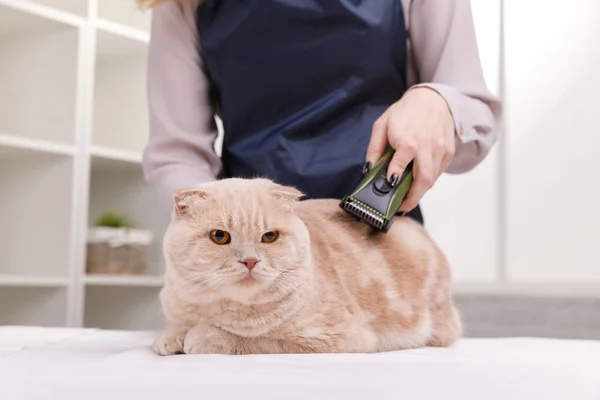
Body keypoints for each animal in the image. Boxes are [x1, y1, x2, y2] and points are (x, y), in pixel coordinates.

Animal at [152, 178, 462, 356]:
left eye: (269, 236)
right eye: (220, 236)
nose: (251, 260)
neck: (219, 309)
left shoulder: (332, 338)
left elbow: (253, 340)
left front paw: (200, 336)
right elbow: (178, 324)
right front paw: (171, 335)